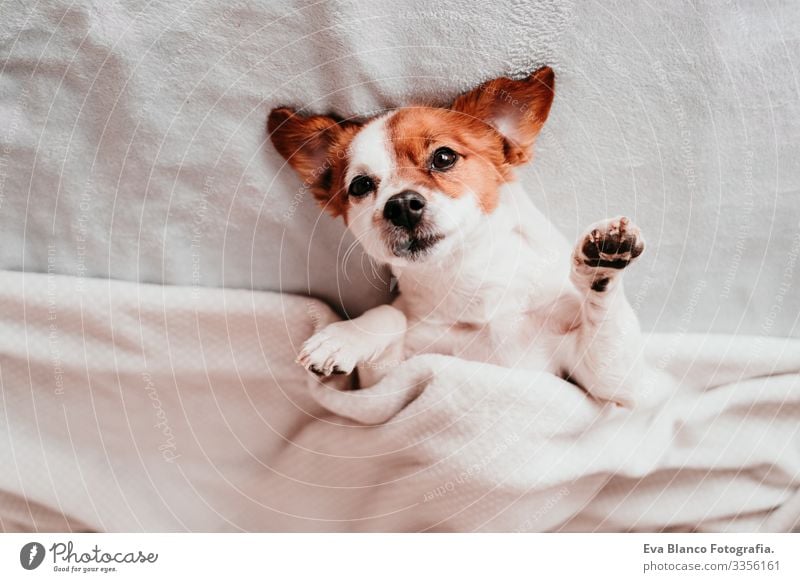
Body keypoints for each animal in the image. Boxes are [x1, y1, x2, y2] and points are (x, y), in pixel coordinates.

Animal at [268, 66, 656, 408]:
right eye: (360, 185)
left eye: (443, 157)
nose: (402, 205)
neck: (468, 282)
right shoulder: (382, 385)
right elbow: (390, 314)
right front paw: (344, 337)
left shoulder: (609, 384)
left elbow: (607, 327)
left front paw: (603, 262)